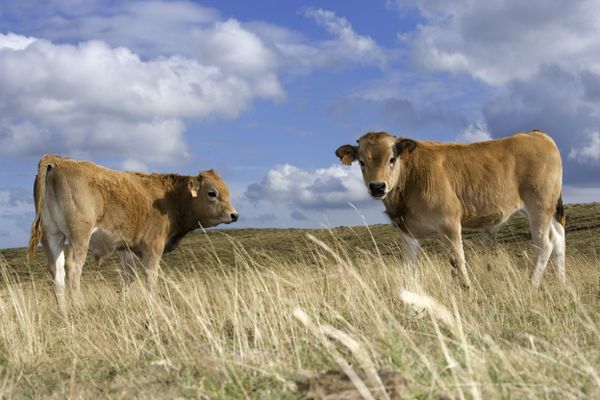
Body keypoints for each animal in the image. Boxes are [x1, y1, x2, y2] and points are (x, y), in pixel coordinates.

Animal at [336, 129, 564, 288]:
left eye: (392, 159)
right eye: (361, 162)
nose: (377, 187)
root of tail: (536, 134)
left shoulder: (450, 222)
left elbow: (458, 260)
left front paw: (466, 289)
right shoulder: (406, 230)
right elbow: (409, 264)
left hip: (539, 206)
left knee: (545, 243)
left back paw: (532, 283)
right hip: (550, 211)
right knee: (559, 240)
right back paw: (562, 284)